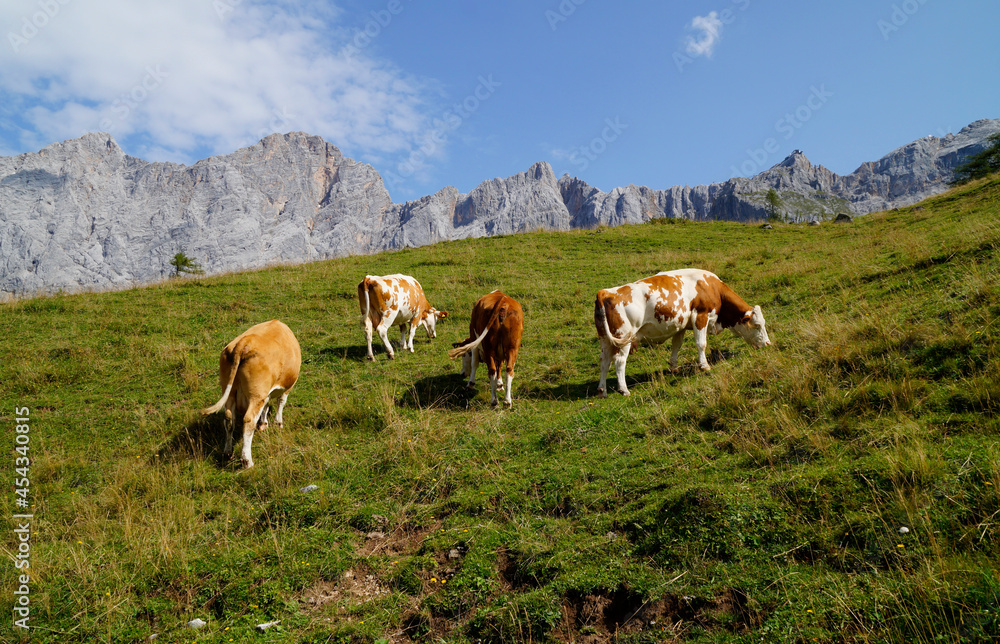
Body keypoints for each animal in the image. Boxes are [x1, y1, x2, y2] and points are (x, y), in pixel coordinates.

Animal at [200, 320, 300, 468]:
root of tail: (244, 342)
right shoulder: (287, 386)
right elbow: (281, 402)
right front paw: (278, 423)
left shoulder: (265, 394)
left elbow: (266, 406)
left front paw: (264, 423)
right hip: (256, 395)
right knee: (248, 420)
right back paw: (247, 461)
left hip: (230, 392)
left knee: (229, 418)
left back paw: (228, 453)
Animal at [592, 268, 772, 398]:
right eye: (757, 325)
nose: (768, 343)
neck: (711, 287)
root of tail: (606, 292)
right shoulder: (701, 316)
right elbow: (701, 344)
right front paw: (704, 366)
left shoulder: (681, 326)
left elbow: (676, 346)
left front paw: (674, 367)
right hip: (623, 338)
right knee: (619, 361)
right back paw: (624, 389)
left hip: (606, 339)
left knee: (604, 361)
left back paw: (602, 391)